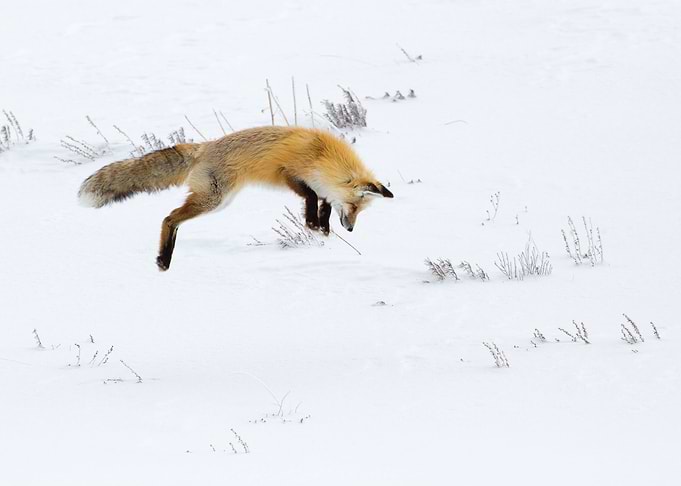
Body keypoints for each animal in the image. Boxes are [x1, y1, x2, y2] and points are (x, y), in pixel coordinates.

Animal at [78, 125, 393, 271]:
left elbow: (323, 206)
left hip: (217, 201)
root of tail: (204, 147)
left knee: (175, 219)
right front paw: (314, 225)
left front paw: (321, 228)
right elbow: (310, 197)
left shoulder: (320, 188)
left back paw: (165, 257)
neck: (322, 157)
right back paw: (164, 258)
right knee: (169, 218)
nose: (350, 229)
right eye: (355, 206)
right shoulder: (288, 173)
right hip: (214, 200)